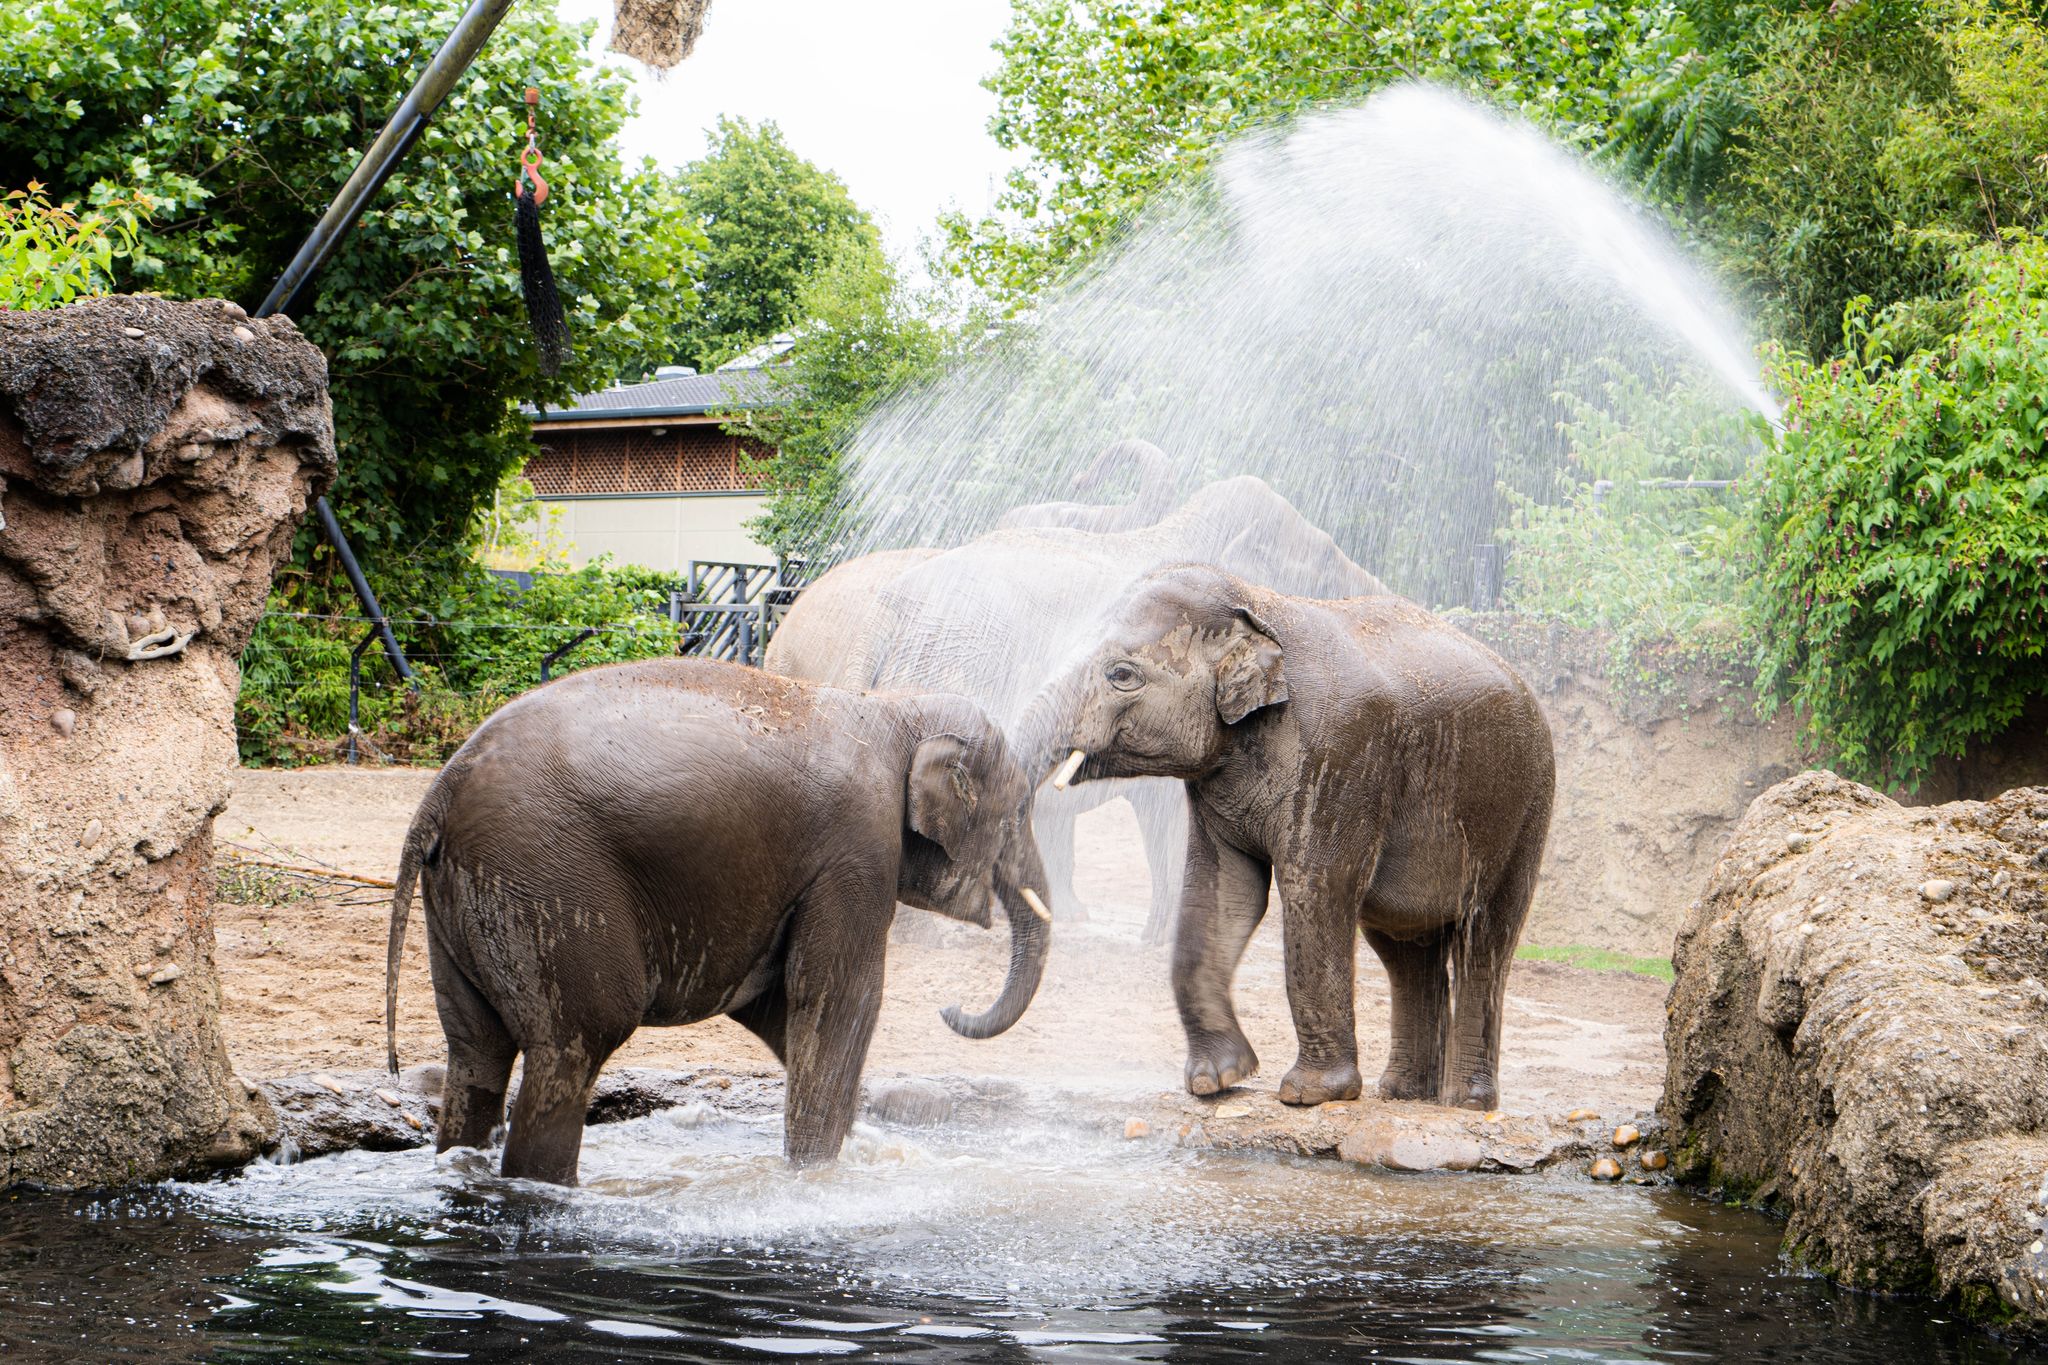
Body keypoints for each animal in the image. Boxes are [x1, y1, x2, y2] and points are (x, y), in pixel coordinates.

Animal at [383, 657, 1051, 1185]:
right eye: (1022, 808)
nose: (950, 1007)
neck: (897, 709)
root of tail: (440, 789)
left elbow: (775, 1009)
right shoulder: (858, 852)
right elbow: (837, 999)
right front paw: (815, 1180)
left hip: (470, 899)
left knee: (477, 1049)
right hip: (543, 877)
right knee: (575, 1043)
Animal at [1017, 563, 1553, 1111]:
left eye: (1122, 675)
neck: (1258, 604)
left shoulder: (1339, 758)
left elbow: (1314, 891)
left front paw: (1309, 1094)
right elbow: (1224, 894)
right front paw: (1216, 1081)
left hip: (1526, 811)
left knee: (1483, 942)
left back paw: (1466, 1102)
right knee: (1405, 951)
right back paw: (1405, 1094)